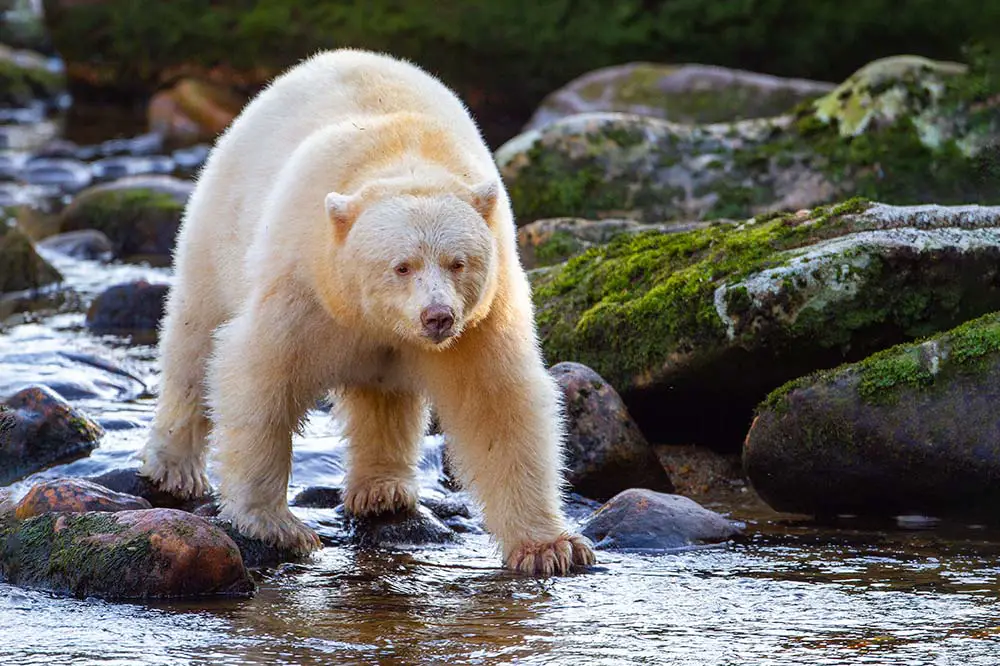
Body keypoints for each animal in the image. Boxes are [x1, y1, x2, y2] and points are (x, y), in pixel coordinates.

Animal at [138, 48, 596, 576]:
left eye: (458, 262)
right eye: (402, 265)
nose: (437, 316)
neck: (405, 159)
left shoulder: (481, 318)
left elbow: (498, 404)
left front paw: (551, 547)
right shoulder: (305, 284)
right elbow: (260, 377)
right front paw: (276, 525)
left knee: (383, 398)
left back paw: (383, 490)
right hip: (220, 223)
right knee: (194, 337)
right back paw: (173, 467)